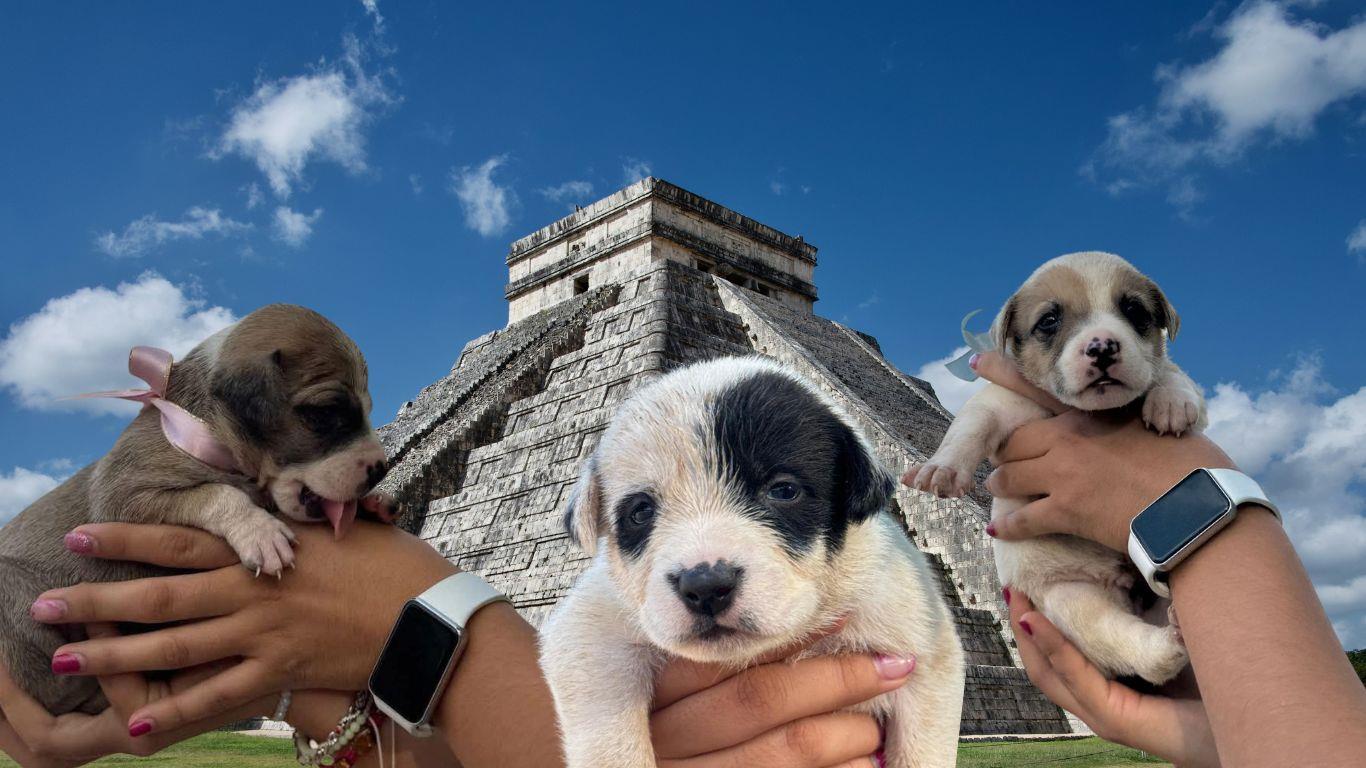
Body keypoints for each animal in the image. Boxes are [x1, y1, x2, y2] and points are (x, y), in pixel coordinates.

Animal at [1, 302, 390, 710]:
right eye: (326, 413)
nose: (380, 469)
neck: (208, 427)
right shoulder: (125, 498)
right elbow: (217, 492)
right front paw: (260, 532)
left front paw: (374, 505)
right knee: (62, 690)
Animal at [538, 355, 967, 765]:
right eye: (640, 512)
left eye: (784, 490)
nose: (705, 587)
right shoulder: (588, 638)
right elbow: (609, 738)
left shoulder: (928, 656)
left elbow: (921, 750)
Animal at [912, 251, 1202, 680]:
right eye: (1048, 321)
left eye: (1134, 311)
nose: (1102, 346)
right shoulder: (998, 404)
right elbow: (967, 429)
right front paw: (942, 470)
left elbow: (1171, 374)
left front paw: (1171, 402)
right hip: (1071, 598)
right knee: (1124, 641)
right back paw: (1166, 644)